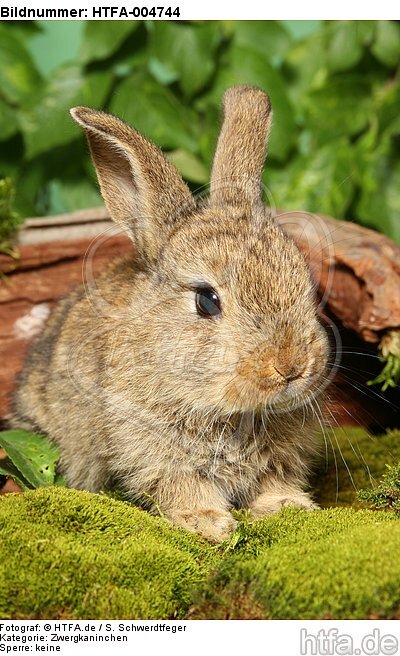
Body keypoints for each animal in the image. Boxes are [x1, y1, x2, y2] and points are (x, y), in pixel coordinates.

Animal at [11, 84, 328, 540]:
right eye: (207, 300)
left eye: (305, 280)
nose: (290, 367)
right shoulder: (153, 450)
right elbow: (181, 485)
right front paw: (208, 524)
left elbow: (274, 479)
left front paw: (288, 508)